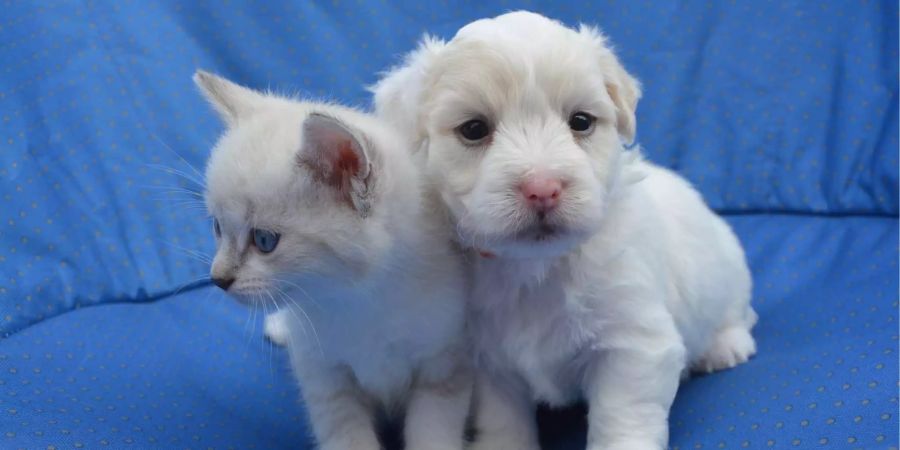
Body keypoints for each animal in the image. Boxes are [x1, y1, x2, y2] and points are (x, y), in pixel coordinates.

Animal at [194, 72, 474, 448]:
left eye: (264, 241)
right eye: (217, 227)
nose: (218, 279)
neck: (356, 299)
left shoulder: (447, 361)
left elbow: (433, 433)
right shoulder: (324, 377)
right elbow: (346, 437)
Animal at [372, 10, 760, 450]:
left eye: (581, 122)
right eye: (473, 129)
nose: (543, 188)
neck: (537, 266)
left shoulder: (634, 343)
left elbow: (622, 416)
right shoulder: (487, 362)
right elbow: (503, 418)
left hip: (728, 267)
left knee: (739, 312)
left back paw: (725, 346)